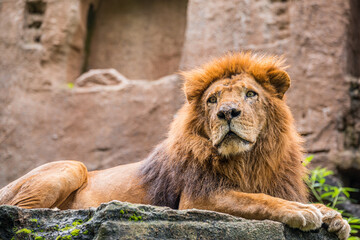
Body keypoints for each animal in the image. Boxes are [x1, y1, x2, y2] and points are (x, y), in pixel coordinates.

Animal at [0, 53, 348, 240]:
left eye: (250, 94)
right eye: (213, 99)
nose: (227, 113)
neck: (248, 160)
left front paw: (334, 217)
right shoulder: (197, 200)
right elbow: (256, 199)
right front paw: (300, 211)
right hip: (73, 166)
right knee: (25, 213)